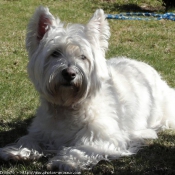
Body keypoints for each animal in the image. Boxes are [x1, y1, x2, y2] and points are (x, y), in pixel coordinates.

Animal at [0, 6, 175, 171]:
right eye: (55, 53)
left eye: (83, 56)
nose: (69, 73)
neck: (68, 107)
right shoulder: (42, 130)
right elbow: (29, 139)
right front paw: (16, 151)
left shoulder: (105, 137)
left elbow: (83, 148)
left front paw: (65, 161)